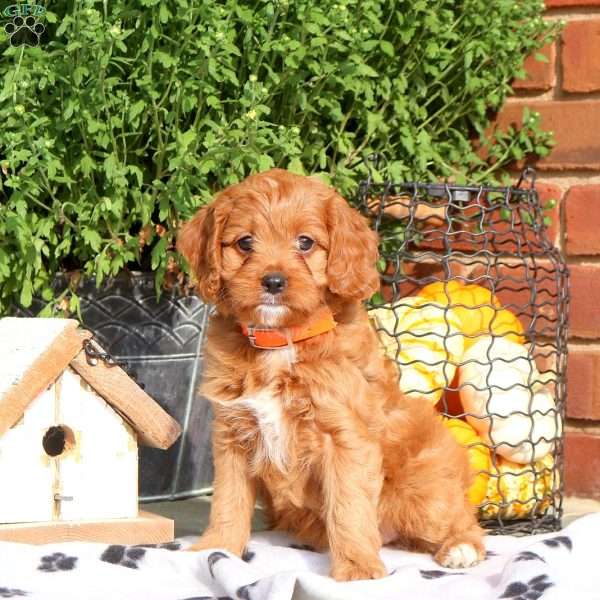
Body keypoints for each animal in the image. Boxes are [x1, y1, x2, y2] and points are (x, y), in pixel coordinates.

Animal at [177, 169, 482, 580]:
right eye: (245, 242)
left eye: (305, 242)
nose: (273, 282)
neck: (280, 341)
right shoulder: (232, 435)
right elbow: (228, 499)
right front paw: (216, 549)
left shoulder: (346, 437)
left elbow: (349, 507)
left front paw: (358, 569)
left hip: (424, 494)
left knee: (463, 518)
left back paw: (461, 549)